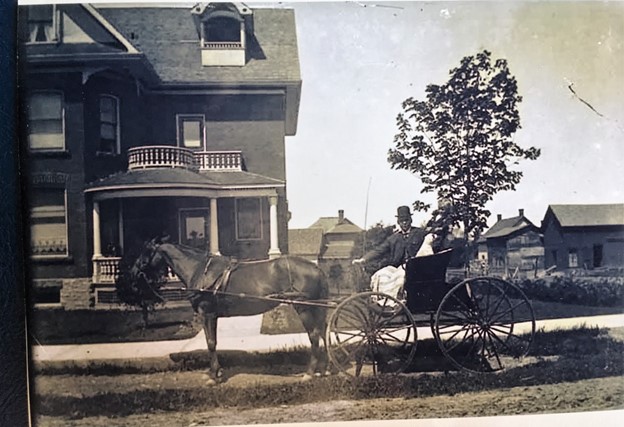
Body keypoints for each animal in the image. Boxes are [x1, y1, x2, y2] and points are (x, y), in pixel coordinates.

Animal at [128, 237, 332, 384]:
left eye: (146, 251)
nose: (133, 273)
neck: (200, 270)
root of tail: (316, 268)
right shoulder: (211, 316)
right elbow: (212, 342)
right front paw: (215, 372)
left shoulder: (207, 313)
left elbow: (211, 343)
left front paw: (213, 377)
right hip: (316, 307)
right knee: (322, 332)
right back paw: (324, 369)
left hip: (304, 307)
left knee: (314, 335)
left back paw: (309, 373)